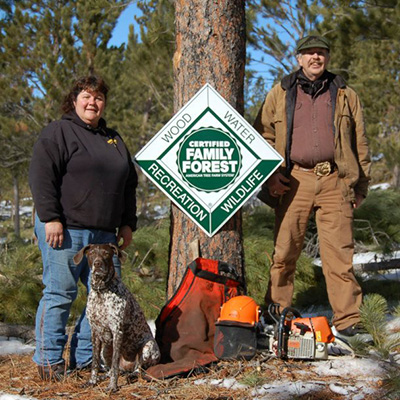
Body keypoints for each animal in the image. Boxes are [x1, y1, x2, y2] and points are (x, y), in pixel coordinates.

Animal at [72, 244, 160, 390]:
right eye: (91, 253)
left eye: (106, 253)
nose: (97, 263)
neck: (101, 291)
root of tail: (127, 367)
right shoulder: (95, 332)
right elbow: (95, 363)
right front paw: (92, 381)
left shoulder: (117, 331)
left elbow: (114, 365)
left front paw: (113, 386)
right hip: (106, 349)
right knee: (113, 369)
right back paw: (103, 377)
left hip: (148, 347)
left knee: (137, 369)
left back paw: (132, 375)